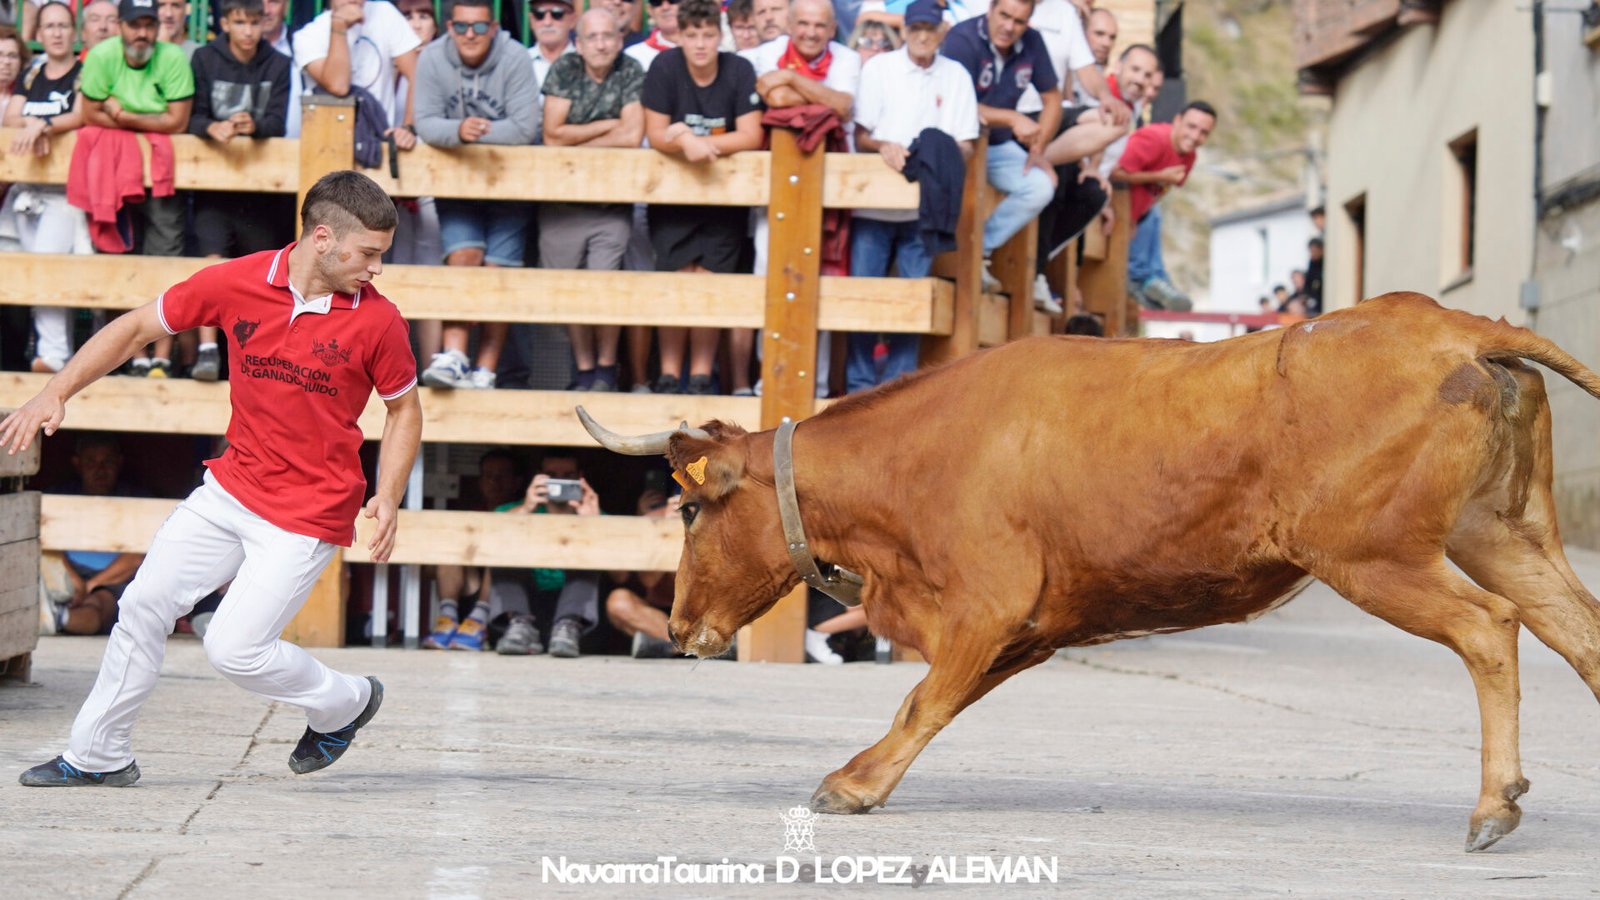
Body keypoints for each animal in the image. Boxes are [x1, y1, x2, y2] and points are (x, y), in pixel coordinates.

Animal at [582, 293, 1600, 845]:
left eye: (686, 509)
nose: (678, 627)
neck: (918, 454)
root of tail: (1453, 327)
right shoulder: (1032, 626)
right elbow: (945, 700)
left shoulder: (986, 606)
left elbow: (920, 702)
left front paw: (855, 784)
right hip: (1501, 534)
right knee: (1580, 633)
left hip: (1377, 557)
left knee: (1489, 629)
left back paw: (1493, 804)